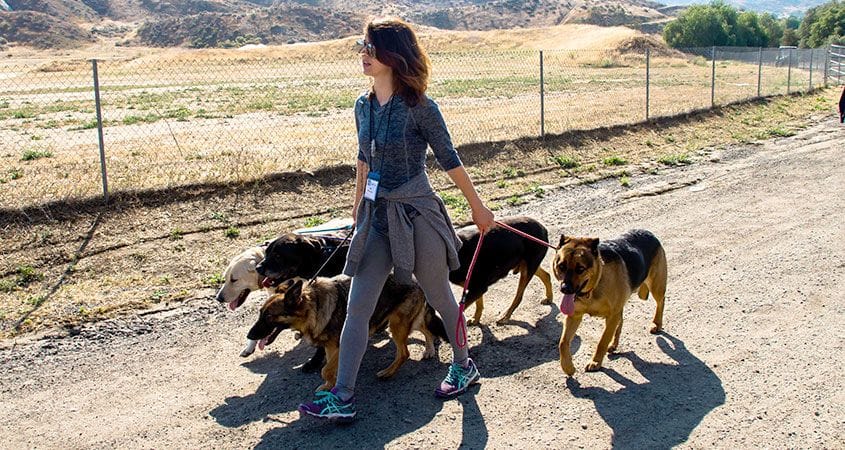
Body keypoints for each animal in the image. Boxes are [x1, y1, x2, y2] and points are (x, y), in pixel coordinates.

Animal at [241, 274, 446, 390]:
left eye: (268, 317)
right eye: (260, 314)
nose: (249, 336)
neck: (314, 306)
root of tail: (416, 279)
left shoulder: (340, 346)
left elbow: (325, 369)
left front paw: (329, 384)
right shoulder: (330, 347)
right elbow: (330, 370)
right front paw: (330, 385)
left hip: (397, 325)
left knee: (404, 352)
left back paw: (388, 373)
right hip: (401, 321)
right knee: (425, 328)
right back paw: (429, 349)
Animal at [552, 229, 664, 376]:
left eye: (580, 269)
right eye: (561, 266)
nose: (565, 289)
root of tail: (648, 233)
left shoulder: (611, 317)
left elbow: (602, 341)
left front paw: (595, 362)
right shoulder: (574, 316)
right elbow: (563, 343)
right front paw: (568, 367)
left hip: (656, 287)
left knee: (660, 302)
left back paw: (657, 324)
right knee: (620, 322)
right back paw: (613, 344)